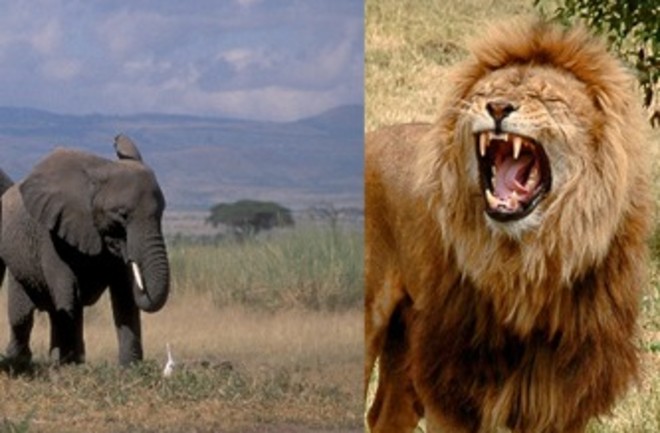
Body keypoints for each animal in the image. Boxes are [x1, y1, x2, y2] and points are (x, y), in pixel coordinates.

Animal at [0, 135, 170, 367]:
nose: (117, 139)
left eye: (162, 213)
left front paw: (129, 366)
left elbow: (124, 295)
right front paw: (70, 364)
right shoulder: (51, 235)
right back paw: (21, 360)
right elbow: (68, 289)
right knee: (23, 314)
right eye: (122, 215)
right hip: (17, 261)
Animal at [365, 19, 654, 433]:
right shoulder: (453, 387)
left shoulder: (562, 398)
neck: (527, 263)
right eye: (487, 93)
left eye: (545, 98)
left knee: (386, 414)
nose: (498, 107)